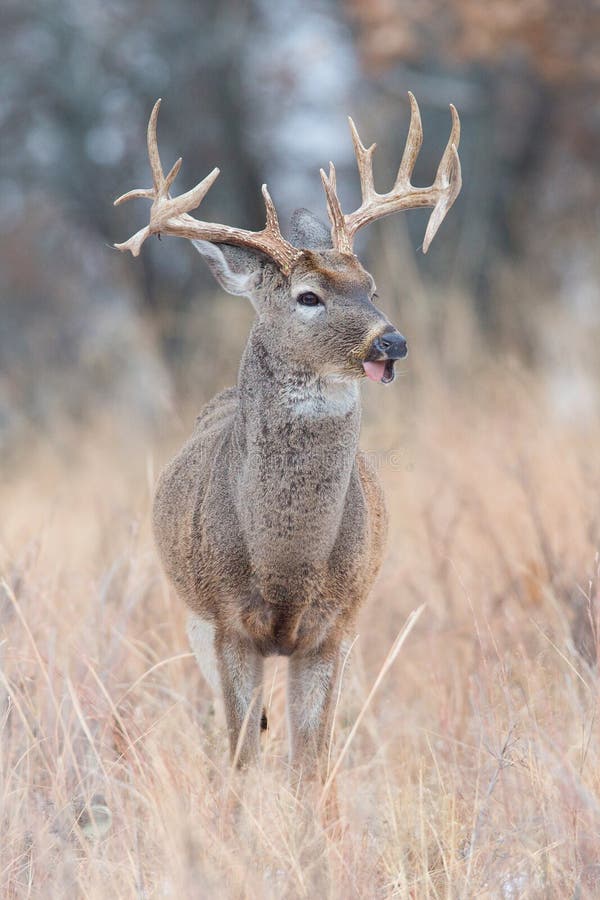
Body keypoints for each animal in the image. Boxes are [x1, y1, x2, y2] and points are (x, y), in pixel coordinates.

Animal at [113, 93, 460, 780]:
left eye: (372, 288)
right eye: (308, 296)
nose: (392, 341)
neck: (283, 562)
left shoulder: (336, 626)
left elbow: (311, 762)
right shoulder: (225, 623)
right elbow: (243, 757)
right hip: (192, 622)